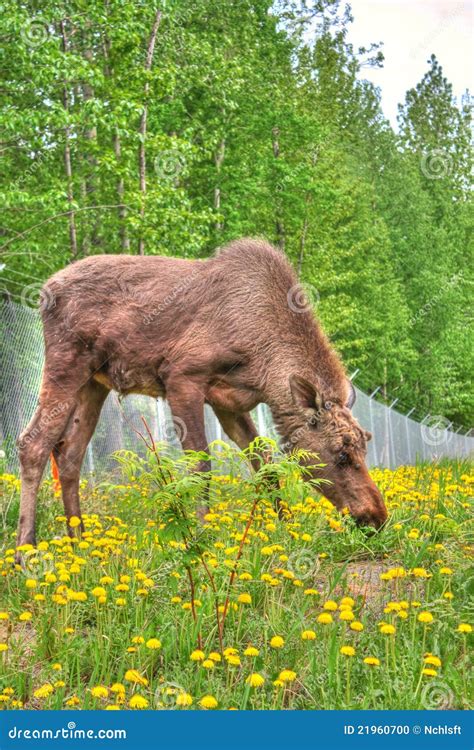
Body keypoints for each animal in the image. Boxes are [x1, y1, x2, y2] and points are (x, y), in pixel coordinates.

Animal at [15, 238, 387, 553]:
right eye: (342, 454)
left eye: (365, 444)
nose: (378, 516)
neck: (263, 360)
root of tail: (44, 290)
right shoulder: (182, 376)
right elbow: (201, 464)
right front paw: (201, 535)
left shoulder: (230, 404)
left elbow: (264, 462)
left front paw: (286, 527)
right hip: (67, 363)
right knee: (32, 442)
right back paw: (25, 550)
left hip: (95, 382)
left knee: (69, 452)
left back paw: (79, 541)